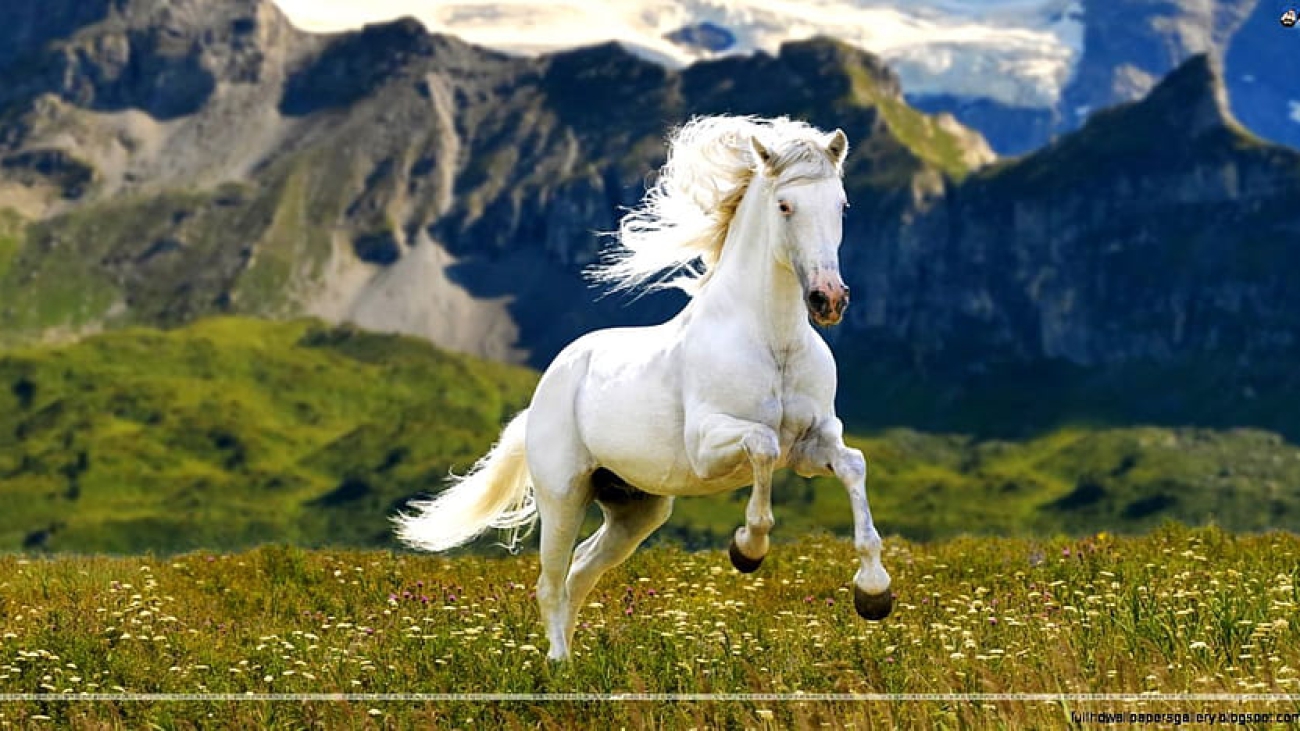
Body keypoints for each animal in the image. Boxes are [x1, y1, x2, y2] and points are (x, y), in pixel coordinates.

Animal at [395, 115, 892, 661]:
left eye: (841, 205)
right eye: (785, 205)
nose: (829, 299)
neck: (773, 341)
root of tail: (544, 390)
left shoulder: (810, 444)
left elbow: (854, 464)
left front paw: (874, 594)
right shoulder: (709, 446)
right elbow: (762, 445)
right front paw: (747, 549)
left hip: (636, 508)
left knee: (581, 569)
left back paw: (574, 661)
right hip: (563, 495)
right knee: (550, 582)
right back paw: (558, 664)